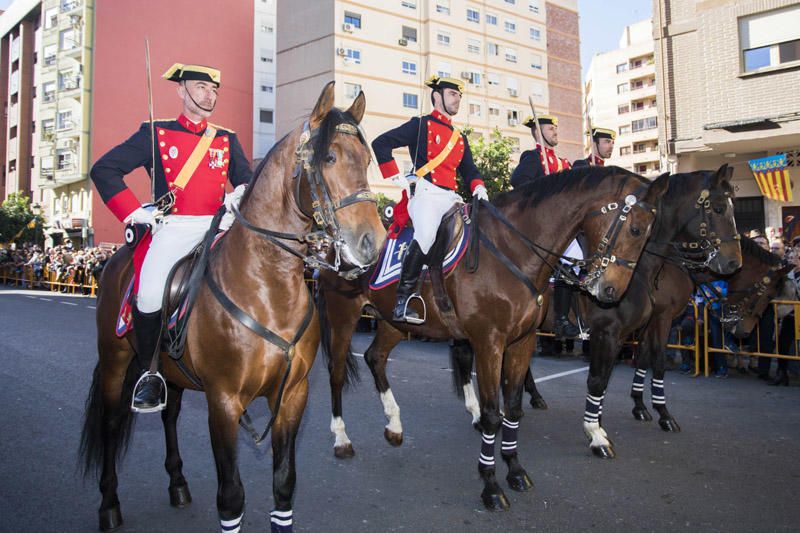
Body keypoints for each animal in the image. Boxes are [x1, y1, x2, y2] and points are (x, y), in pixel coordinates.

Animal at [78, 81, 384, 528]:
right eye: (328, 157)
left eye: (366, 159)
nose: (372, 243)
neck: (268, 289)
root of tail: (118, 258)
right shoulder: (223, 402)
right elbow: (231, 497)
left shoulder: (292, 396)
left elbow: (284, 485)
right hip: (116, 361)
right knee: (112, 422)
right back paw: (108, 504)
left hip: (170, 371)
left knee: (169, 413)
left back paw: (177, 484)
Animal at [318, 168, 668, 510]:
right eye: (636, 229)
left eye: (649, 233)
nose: (610, 291)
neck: (513, 250)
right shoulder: (491, 343)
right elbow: (492, 415)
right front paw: (491, 485)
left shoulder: (522, 342)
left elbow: (511, 409)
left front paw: (515, 470)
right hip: (343, 316)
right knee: (337, 373)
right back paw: (341, 439)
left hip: (394, 321)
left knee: (375, 357)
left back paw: (394, 426)